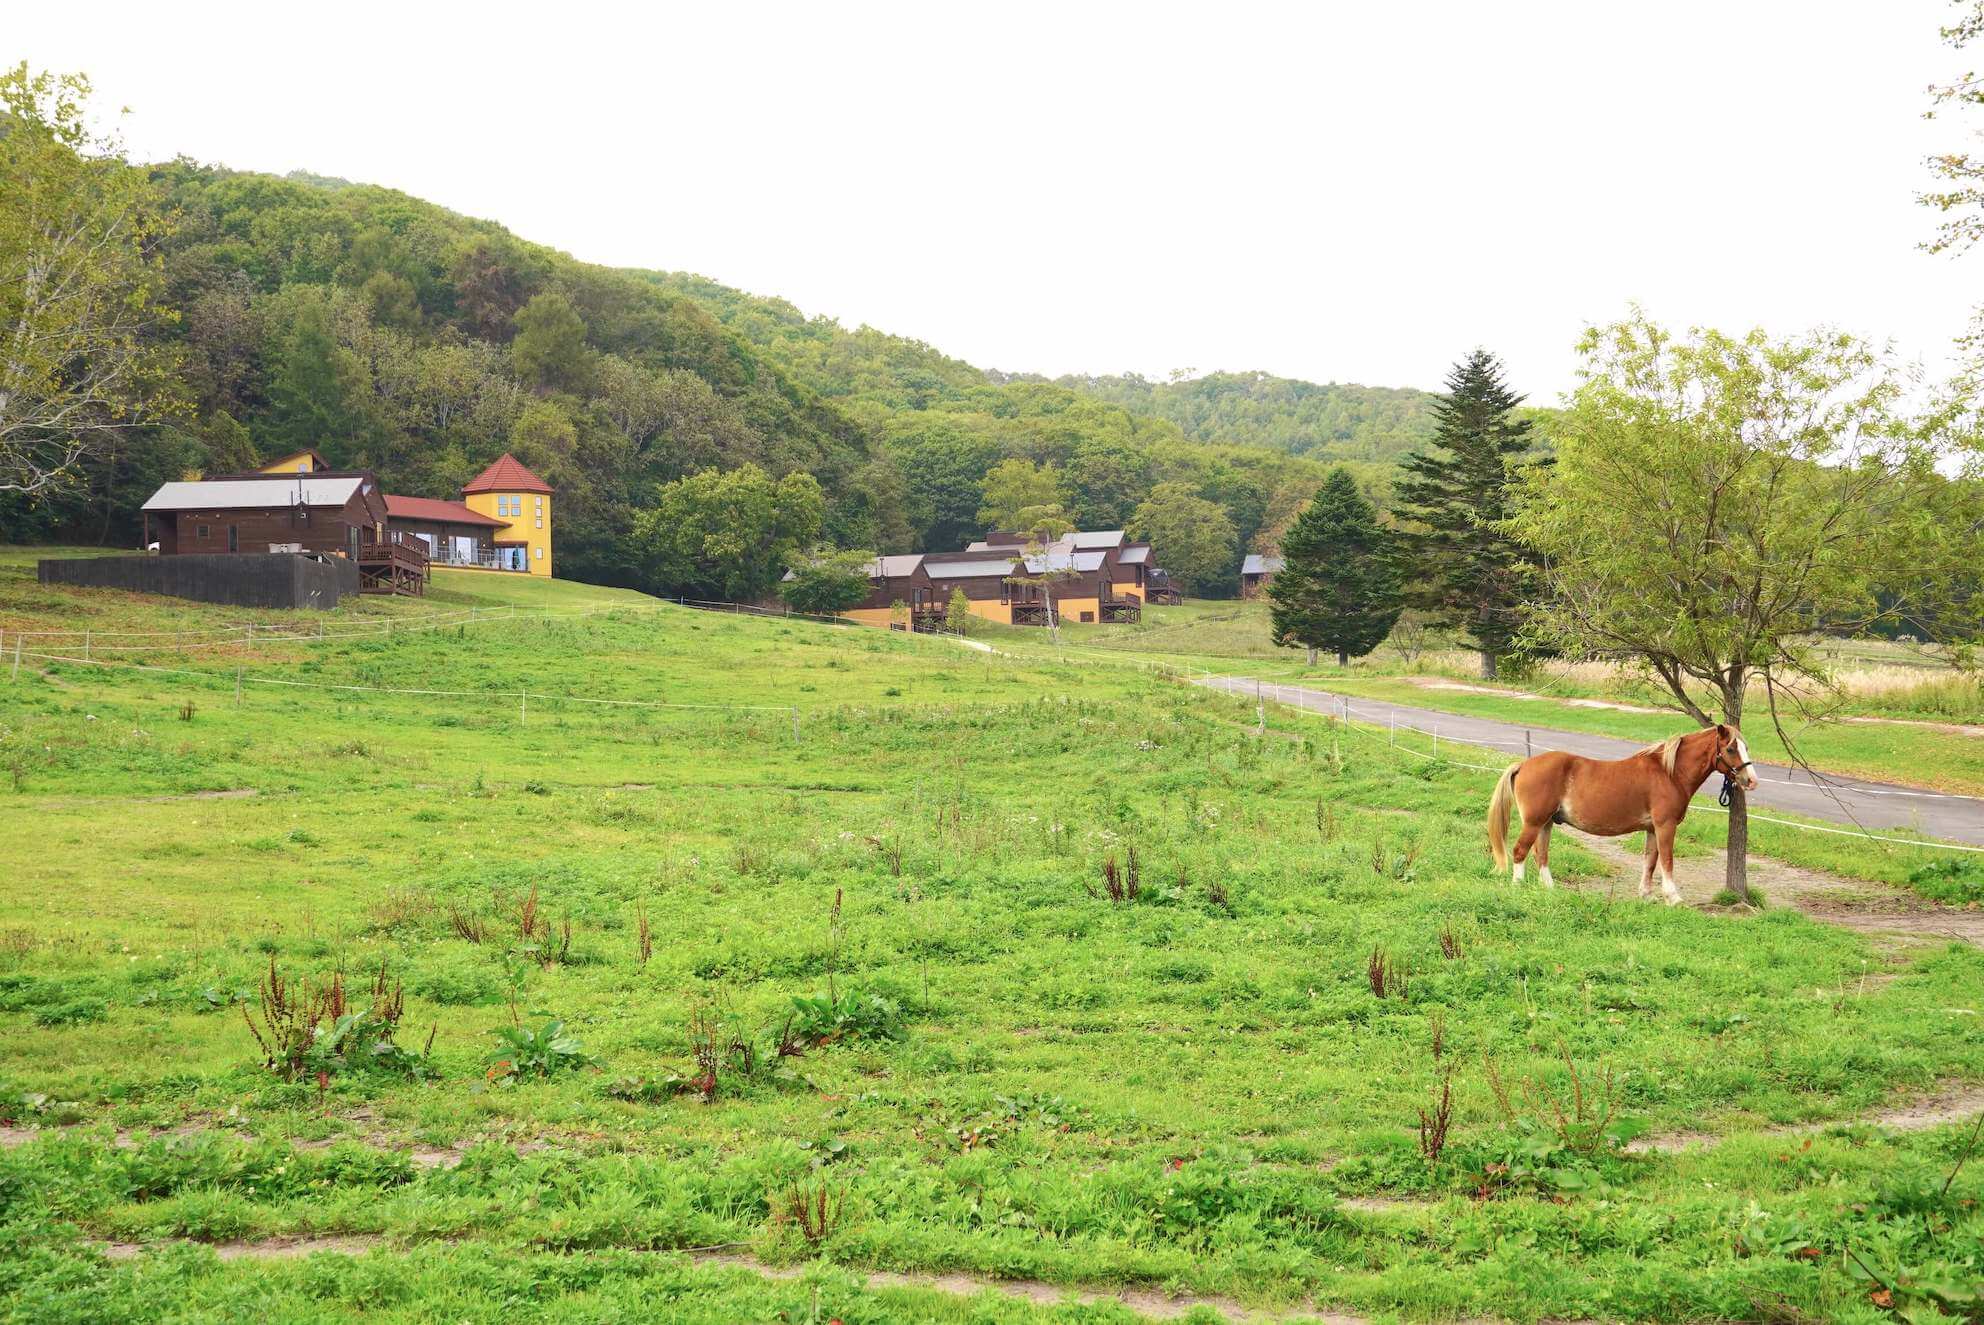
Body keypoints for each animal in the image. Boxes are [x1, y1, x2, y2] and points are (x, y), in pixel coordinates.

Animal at [1484, 725, 1761, 900]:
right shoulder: (1665, 826)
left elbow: (1650, 861)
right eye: (1731, 749)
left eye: (1746, 747)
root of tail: (1523, 764)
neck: (1669, 773)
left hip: (1546, 823)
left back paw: (1550, 890)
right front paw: (1673, 897)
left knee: (1541, 854)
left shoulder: (1652, 829)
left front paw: (1646, 895)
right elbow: (1667, 860)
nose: (1751, 780)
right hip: (1534, 822)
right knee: (1520, 851)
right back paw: (1518, 887)